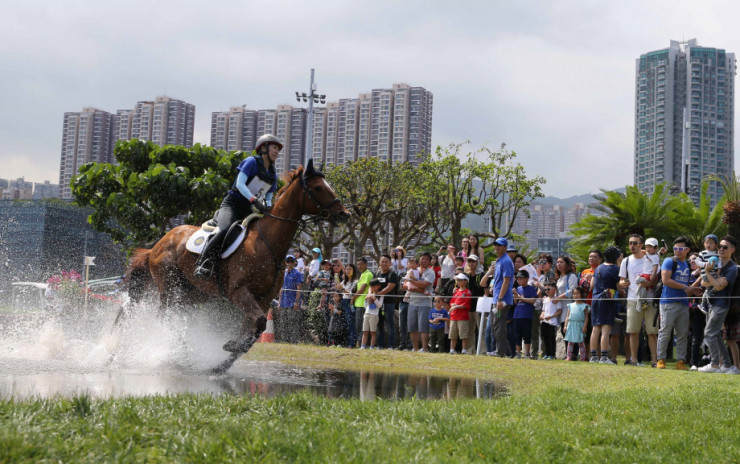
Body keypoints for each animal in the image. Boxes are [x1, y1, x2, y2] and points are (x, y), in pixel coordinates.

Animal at [125, 160, 350, 374]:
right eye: (318, 187)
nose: (344, 214)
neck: (267, 244)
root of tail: (157, 245)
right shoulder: (239, 292)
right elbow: (258, 323)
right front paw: (232, 347)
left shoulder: (264, 298)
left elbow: (255, 329)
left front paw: (224, 360)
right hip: (170, 289)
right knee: (165, 319)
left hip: (193, 293)